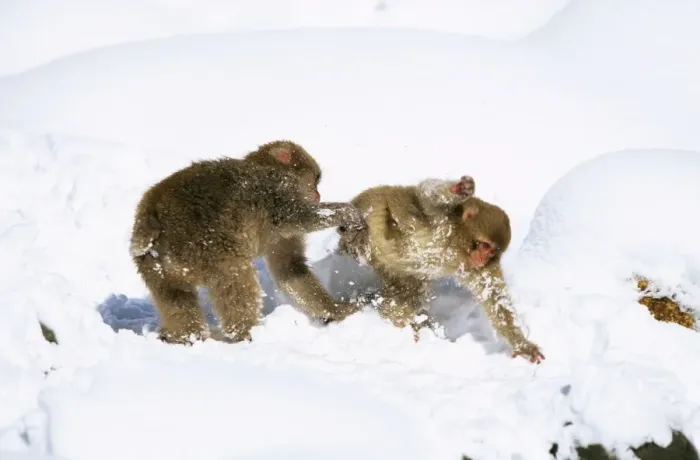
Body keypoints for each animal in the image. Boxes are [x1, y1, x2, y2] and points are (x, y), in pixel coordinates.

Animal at [129, 140, 368, 344]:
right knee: (236, 277)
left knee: (174, 296)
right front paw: (348, 213)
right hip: (205, 246)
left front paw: (334, 310)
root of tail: (152, 213)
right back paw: (245, 333)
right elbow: (302, 217)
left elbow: (288, 268)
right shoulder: (278, 190)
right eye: (315, 180)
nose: (317, 195)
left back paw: (185, 336)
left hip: (154, 264)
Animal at [337, 176, 545, 364]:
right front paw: (458, 189)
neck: (456, 245)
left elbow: (495, 298)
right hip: (369, 205)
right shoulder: (443, 219)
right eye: (484, 245)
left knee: (403, 302)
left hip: (397, 275)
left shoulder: (481, 269)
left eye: (492, 251)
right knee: (379, 212)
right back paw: (358, 241)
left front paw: (522, 345)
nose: (481, 258)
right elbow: (427, 194)